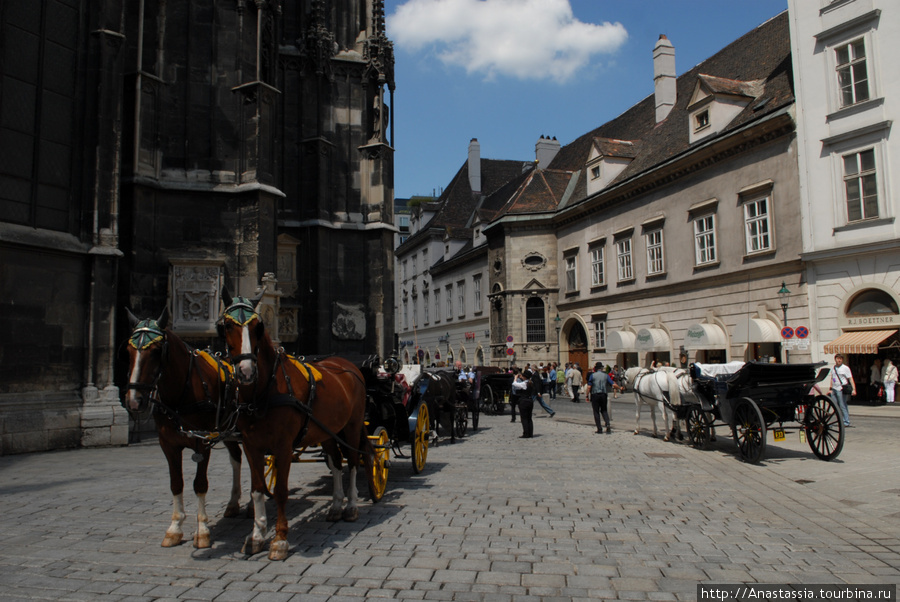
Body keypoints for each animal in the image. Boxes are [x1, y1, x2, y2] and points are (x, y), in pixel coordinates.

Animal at [123, 308, 244, 548]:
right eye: (129, 350)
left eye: (156, 351)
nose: (134, 401)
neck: (181, 393)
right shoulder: (168, 444)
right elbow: (176, 483)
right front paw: (174, 529)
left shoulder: (203, 442)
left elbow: (200, 484)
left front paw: (203, 531)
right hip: (229, 431)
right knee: (237, 459)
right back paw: (233, 503)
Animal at [218, 286, 370, 556]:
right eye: (226, 325)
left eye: (258, 326)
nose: (246, 371)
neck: (265, 391)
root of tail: (348, 364)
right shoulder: (251, 446)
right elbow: (257, 488)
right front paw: (256, 536)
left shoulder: (283, 446)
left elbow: (280, 491)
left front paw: (280, 539)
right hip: (327, 431)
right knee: (336, 463)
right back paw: (335, 506)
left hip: (351, 427)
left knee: (352, 462)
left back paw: (351, 507)